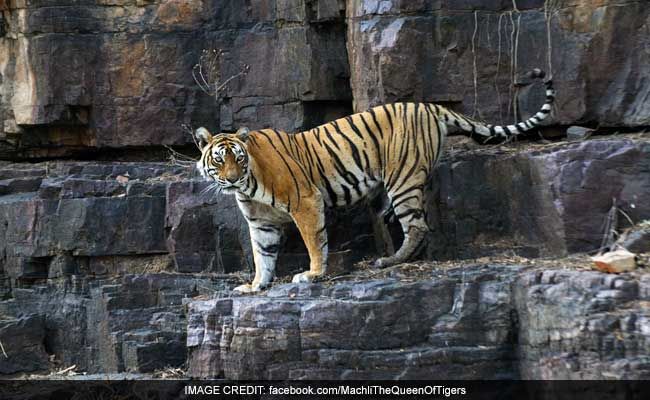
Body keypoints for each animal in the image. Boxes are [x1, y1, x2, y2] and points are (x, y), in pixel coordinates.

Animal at [195, 68, 555, 293]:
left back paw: (390, 260)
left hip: (403, 179)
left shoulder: (305, 201)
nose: (231, 179)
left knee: (418, 226)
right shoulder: (261, 223)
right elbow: (263, 255)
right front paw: (256, 285)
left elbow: (314, 241)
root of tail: (430, 107)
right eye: (220, 160)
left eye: (238, 158)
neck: (248, 185)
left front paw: (312, 274)